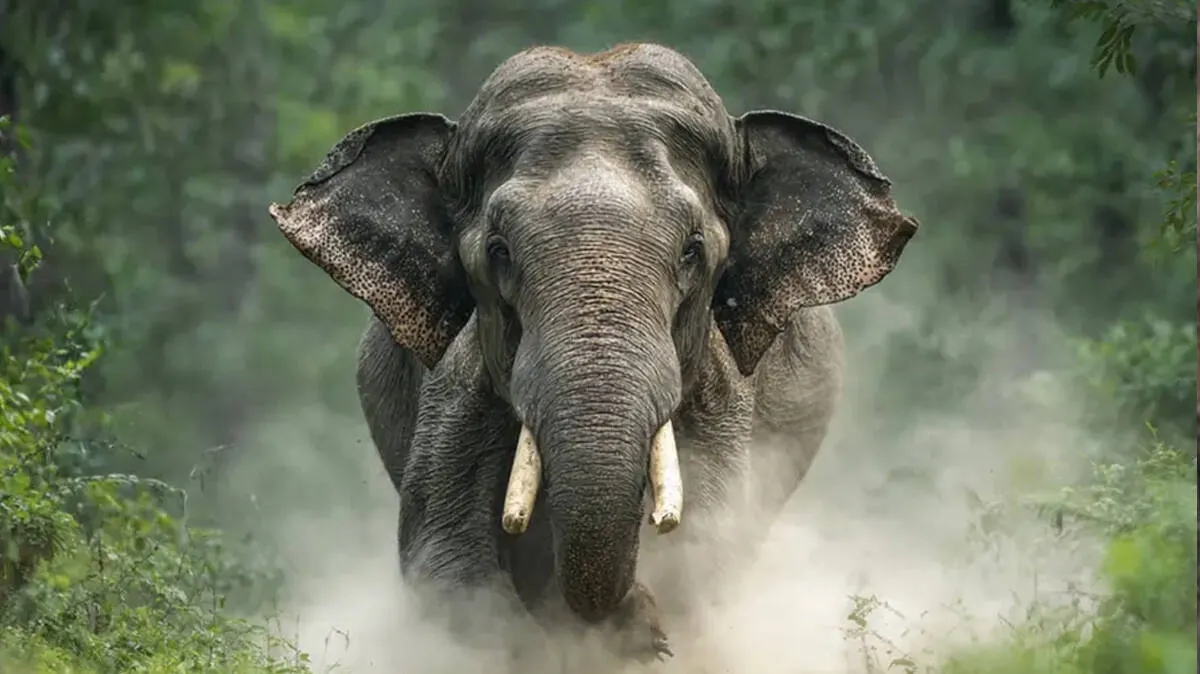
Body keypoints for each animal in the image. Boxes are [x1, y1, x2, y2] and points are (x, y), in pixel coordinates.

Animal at [268, 42, 918, 661]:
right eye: (499, 251)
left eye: (693, 250)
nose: (637, 611)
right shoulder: (458, 381)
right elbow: (445, 565)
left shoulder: (721, 387)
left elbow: (705, 549)